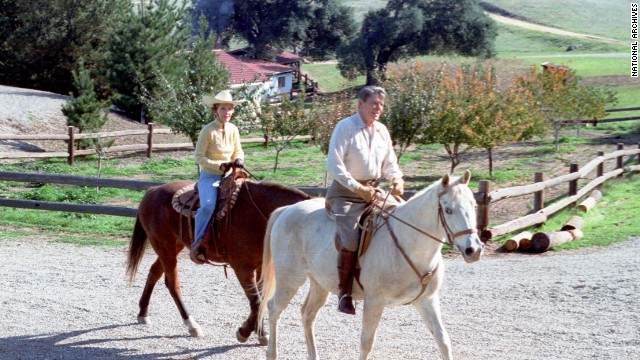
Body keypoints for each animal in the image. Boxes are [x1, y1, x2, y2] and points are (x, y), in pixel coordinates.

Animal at [125, 179, 310, 344]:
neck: (260, 214)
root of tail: (153, 190)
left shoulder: (260, 267)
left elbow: (260, 300)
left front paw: (256, 332)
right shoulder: (242, 268)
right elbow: (256, 302)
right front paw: (246, 332)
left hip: (172, 247)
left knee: (154, 273)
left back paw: (143, 313)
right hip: (165, 248)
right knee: (173, 285)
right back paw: (192, 325)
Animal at [258, 172, 482, 360]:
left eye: (474, 206)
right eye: (448, 210)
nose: (473, 249)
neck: (408, 243)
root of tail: (287, 210)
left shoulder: (427, 300)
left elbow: (443, 340)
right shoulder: (374, 301)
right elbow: (367, 342)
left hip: (319, 284)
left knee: (307, 314)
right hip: (290, 279)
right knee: (274, 309)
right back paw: (271, 353)